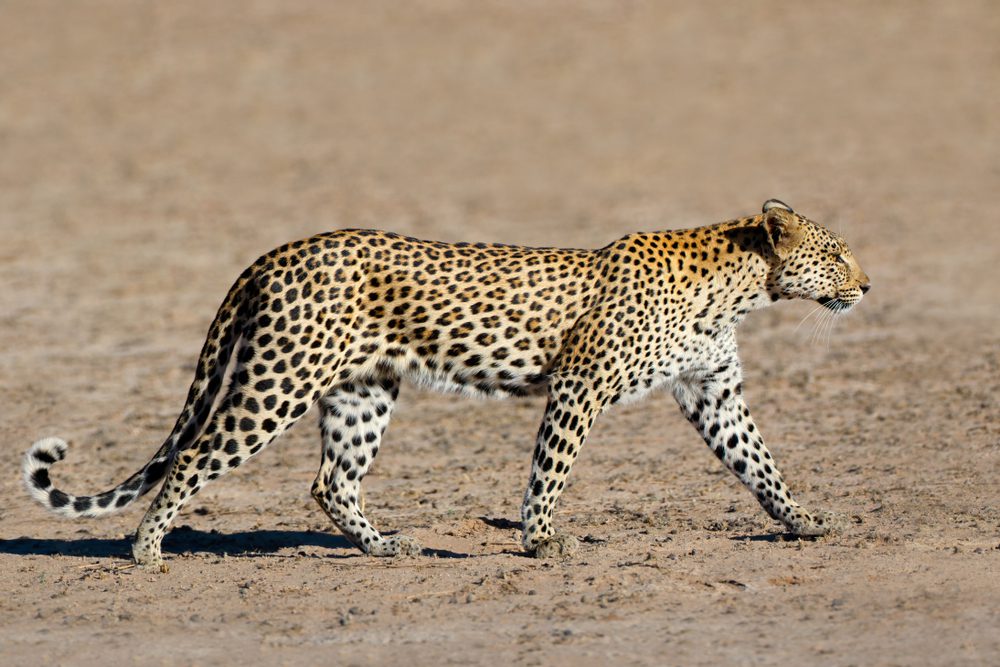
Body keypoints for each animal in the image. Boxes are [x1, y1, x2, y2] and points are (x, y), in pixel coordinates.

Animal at [21, 200, 868, 568]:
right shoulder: (580, 385)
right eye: (836, 252)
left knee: (332, 481)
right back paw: (146, 550)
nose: (867, 284)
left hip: (361, 391)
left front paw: (803, 521)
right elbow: (551, 468)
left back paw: (385, 545)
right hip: (279, 379)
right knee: (198, 455)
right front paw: (541, 538)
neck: (741, 287)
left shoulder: (712, 389)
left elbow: (759, 462)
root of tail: (277, 251)